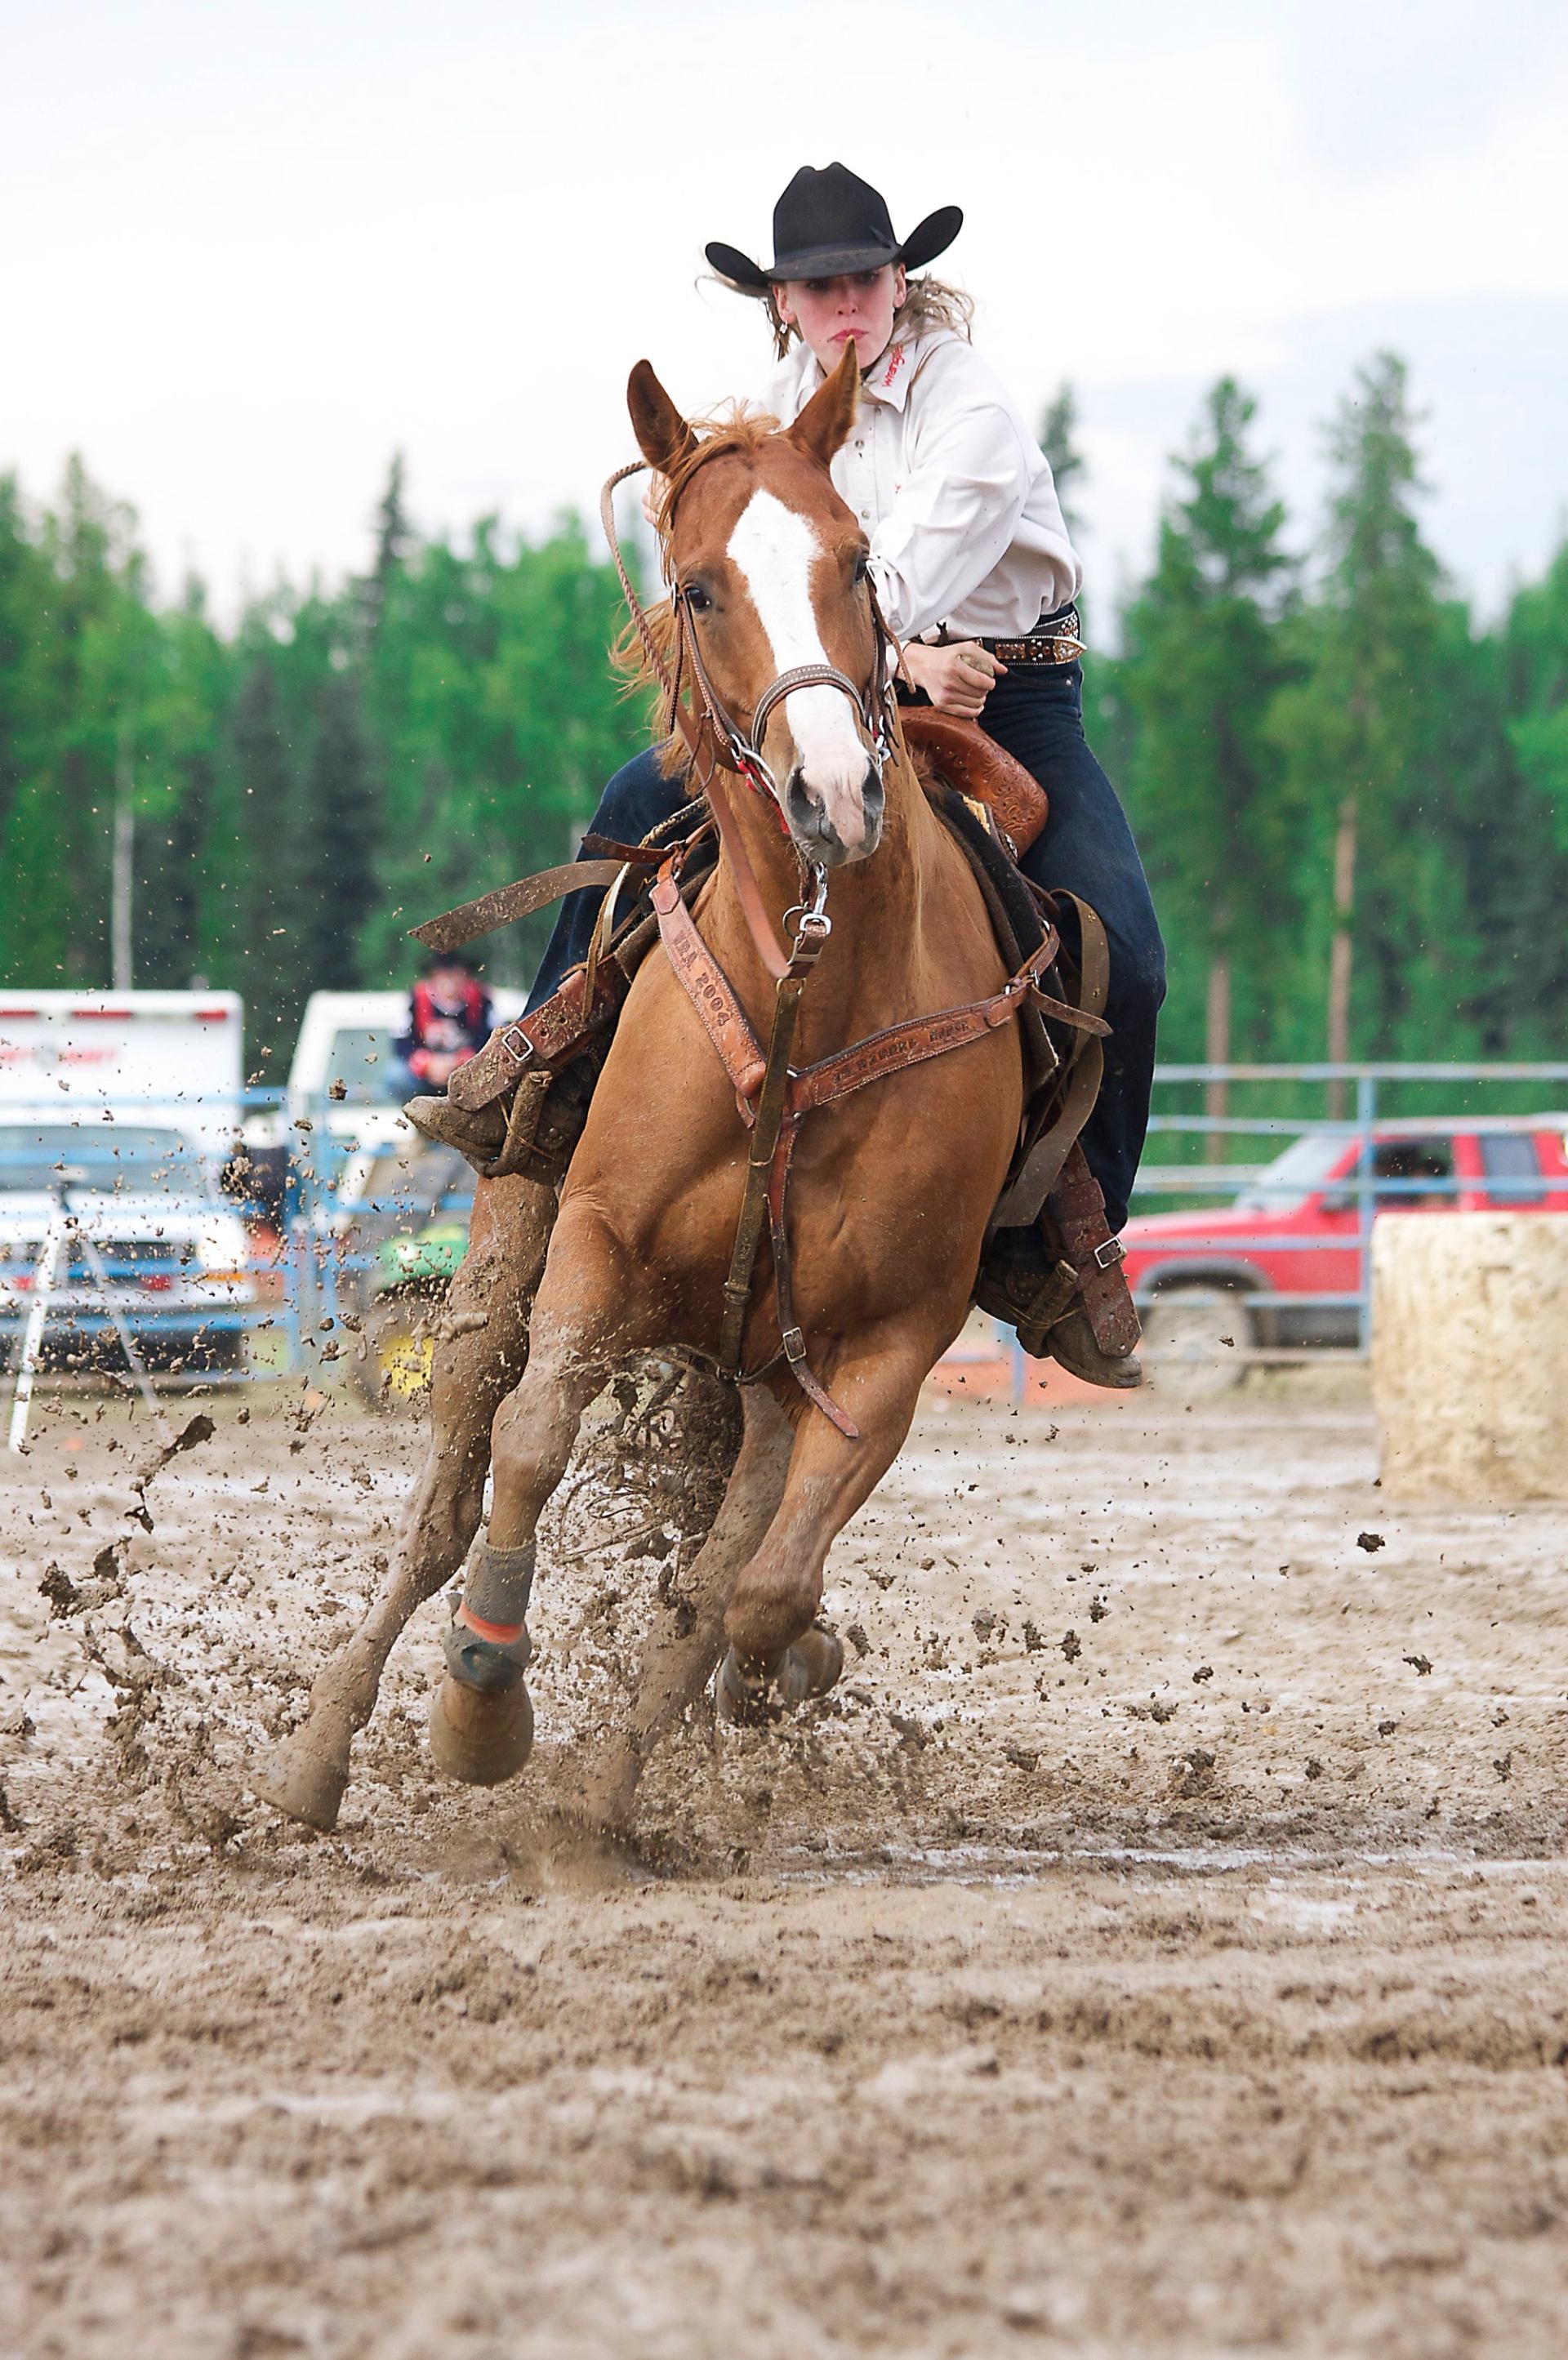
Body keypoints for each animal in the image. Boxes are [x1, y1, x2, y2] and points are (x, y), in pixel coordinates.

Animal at [259, 345, 1046, 1838]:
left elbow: (756, 1586)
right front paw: (479, 1712)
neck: (811, 1005)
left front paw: (778, 1663)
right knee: (449, 1487)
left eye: (857, 561)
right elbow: (531, 1439)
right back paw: (322, 1751)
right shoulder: (597, 1240)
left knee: (729, 1560)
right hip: (501, 1248)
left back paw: (602, 1808)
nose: (834, 793)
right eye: (696, 587)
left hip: (772, 1376)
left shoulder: (889, 1341)